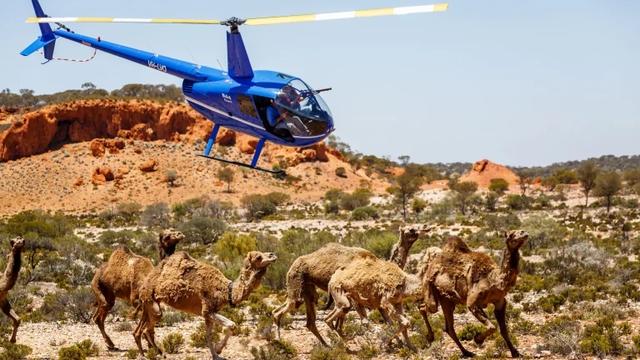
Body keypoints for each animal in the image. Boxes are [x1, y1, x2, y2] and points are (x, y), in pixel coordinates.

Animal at [134, 250, 276, 360]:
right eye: (258, 257)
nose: (273, 255)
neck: (227, 291)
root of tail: (143, 287)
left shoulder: (209, 314)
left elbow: (209, 335)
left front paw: (216, 354)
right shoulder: (207, 309)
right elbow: (231, 325)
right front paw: (219, 350)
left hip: (147, 304)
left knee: (140, 330)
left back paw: (149, 353)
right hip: (150, 301)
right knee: (147, 328)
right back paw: (158, 354)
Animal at [270, 225, 430, 346]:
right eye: (410, 229)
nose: (423, 229)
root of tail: (294, 263)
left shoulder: (374, 299)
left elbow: (388, 321)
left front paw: (399, 343)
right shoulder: (357, 297)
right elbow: (365, 321)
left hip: (308, 289)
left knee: (309, 321)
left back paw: (326, 345)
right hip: (296, 283)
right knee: (283, 310)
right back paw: (278, 340)